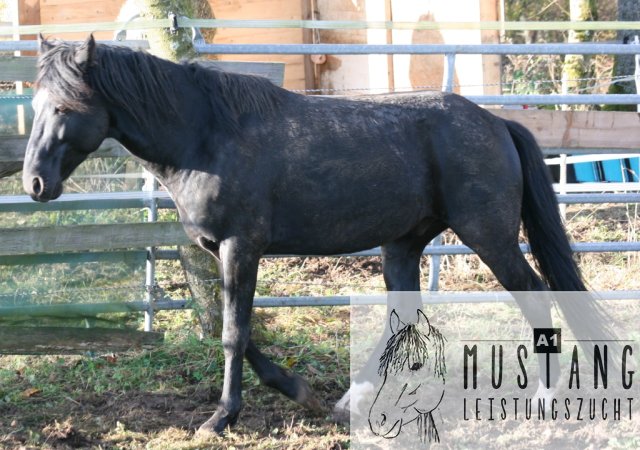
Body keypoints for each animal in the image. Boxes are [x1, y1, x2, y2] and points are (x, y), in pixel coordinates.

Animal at [23, 35, 604, 436]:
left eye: (66, 107)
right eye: (35, 106)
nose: (35, 183)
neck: (206, 136)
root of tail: (496, 123)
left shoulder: (241, 247)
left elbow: (234, 333)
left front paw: (222, 417)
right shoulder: (223, 251)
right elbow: (239, 333)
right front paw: (298, 391)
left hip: (490, 237)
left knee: (536, 295)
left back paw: (545, 399)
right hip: (403, 244)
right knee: (403, 314)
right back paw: (354, 399)